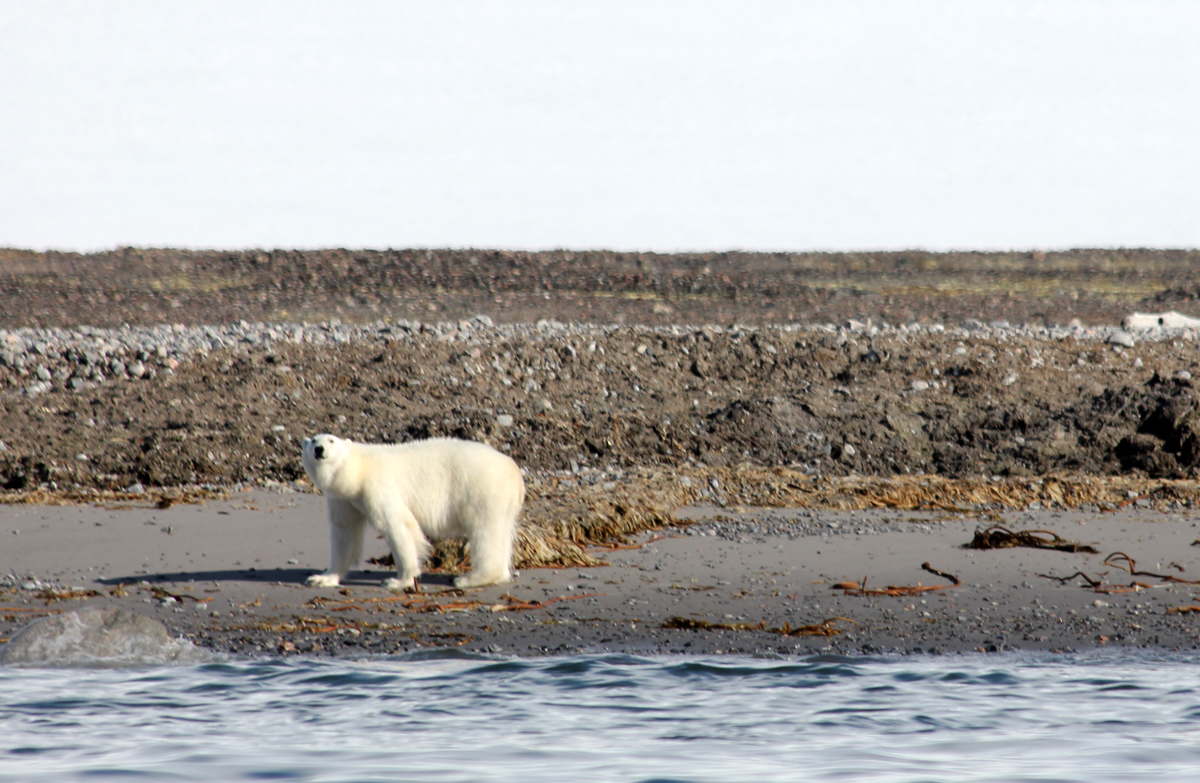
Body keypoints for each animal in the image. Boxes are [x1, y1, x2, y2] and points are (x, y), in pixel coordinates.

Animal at [300, 434, 524, 591]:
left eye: (331, 440)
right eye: (313, 440)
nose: (319, 449)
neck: (358, 469)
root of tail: (516, 473)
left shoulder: (377, 484)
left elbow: (397, 524)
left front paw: (399, 581)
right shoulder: (344, 499)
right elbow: (345, 531)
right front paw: (323, 578)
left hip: (483, 490)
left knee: (486, 532)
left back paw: (469, 579)